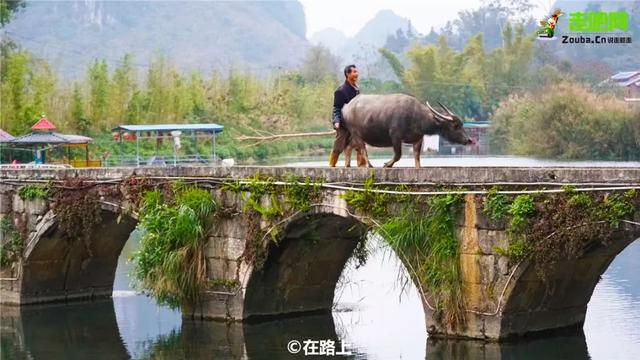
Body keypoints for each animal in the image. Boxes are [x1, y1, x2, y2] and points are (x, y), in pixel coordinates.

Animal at [342, 93, 472, 168]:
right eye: (455, 126)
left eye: (461, 124)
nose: (469, 140)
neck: (416, 116)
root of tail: (347, 107)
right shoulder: (395, 137)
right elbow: (398, 155)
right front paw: (387, 164)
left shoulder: (418, 139)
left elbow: (417, 156)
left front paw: (418, 167)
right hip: (356, 134)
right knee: (362, 149)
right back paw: (369, 165)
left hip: (355, 136)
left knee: (348, 147)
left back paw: (348, 165)